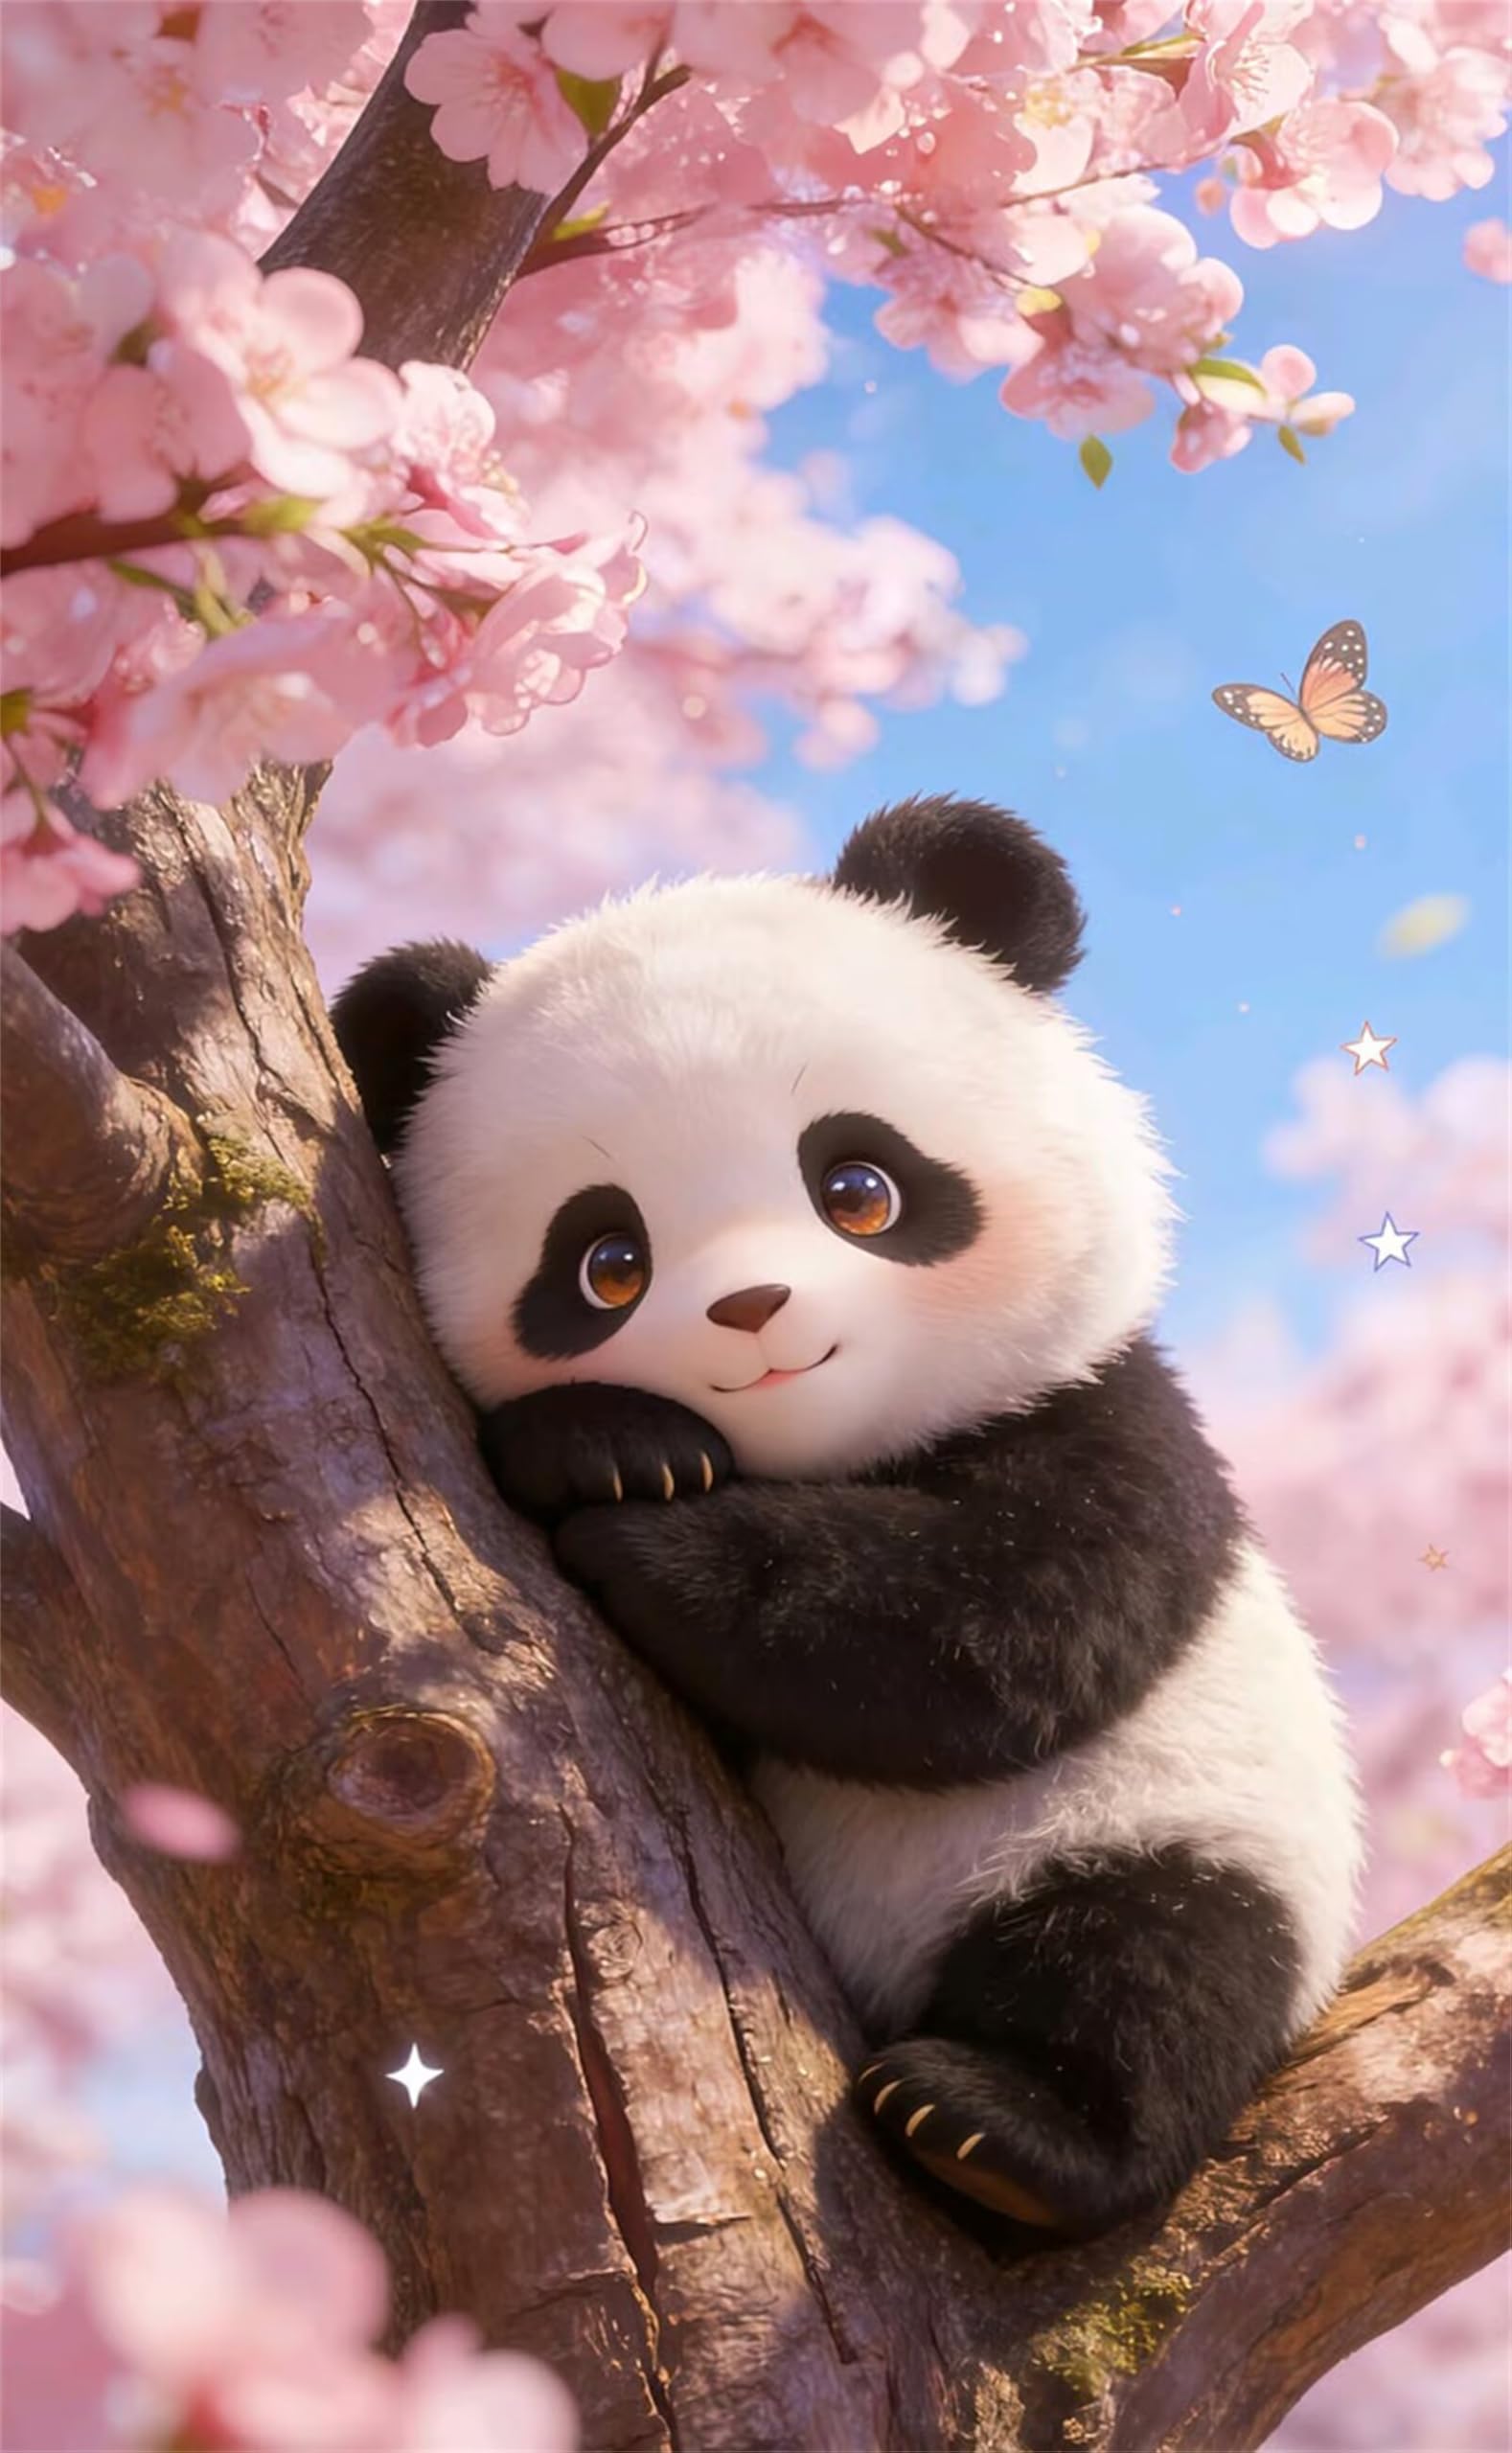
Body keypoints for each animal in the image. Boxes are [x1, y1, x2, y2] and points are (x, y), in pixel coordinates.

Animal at [332, 794, 1361, 2239]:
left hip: (1176, 1822)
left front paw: (643, 1534)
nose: (751, 1311)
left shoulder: (1107, 1422)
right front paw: (615, 1449)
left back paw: (996, 2128)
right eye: (605, 1263)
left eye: (859, 1187)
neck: (827, 1458)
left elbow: (985, 1637)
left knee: (1158, 1956)